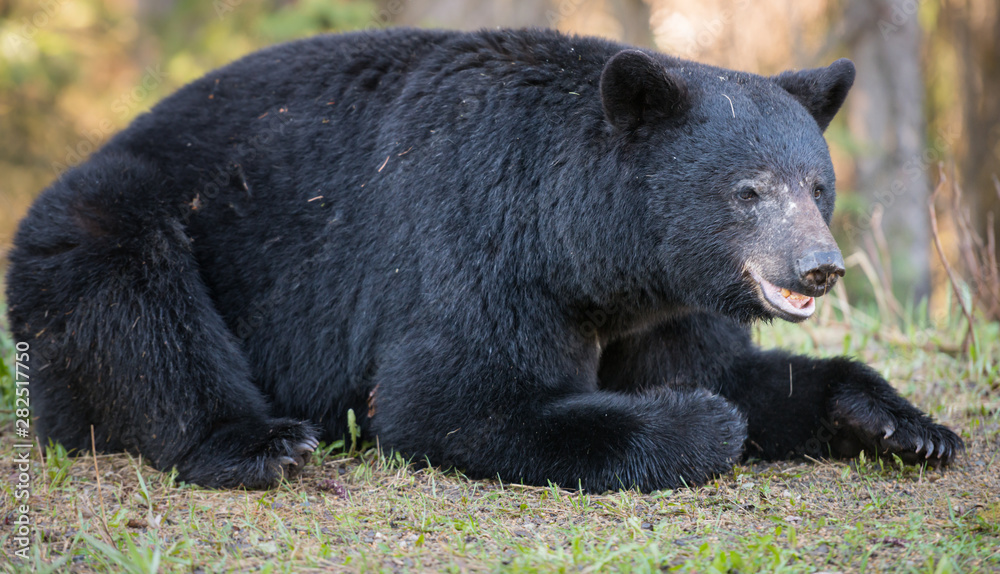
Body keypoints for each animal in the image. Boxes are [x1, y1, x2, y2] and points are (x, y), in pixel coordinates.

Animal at [5, 29, 960, 492]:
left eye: (818, 185)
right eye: (749, 191)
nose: (819, 267)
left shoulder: (670, 300)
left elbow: (732, 370)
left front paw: (908, 426)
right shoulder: (473, 238)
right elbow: (449, 401)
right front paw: (696, 423)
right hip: (107, 215)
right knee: (140, 308)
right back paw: (258, 443)